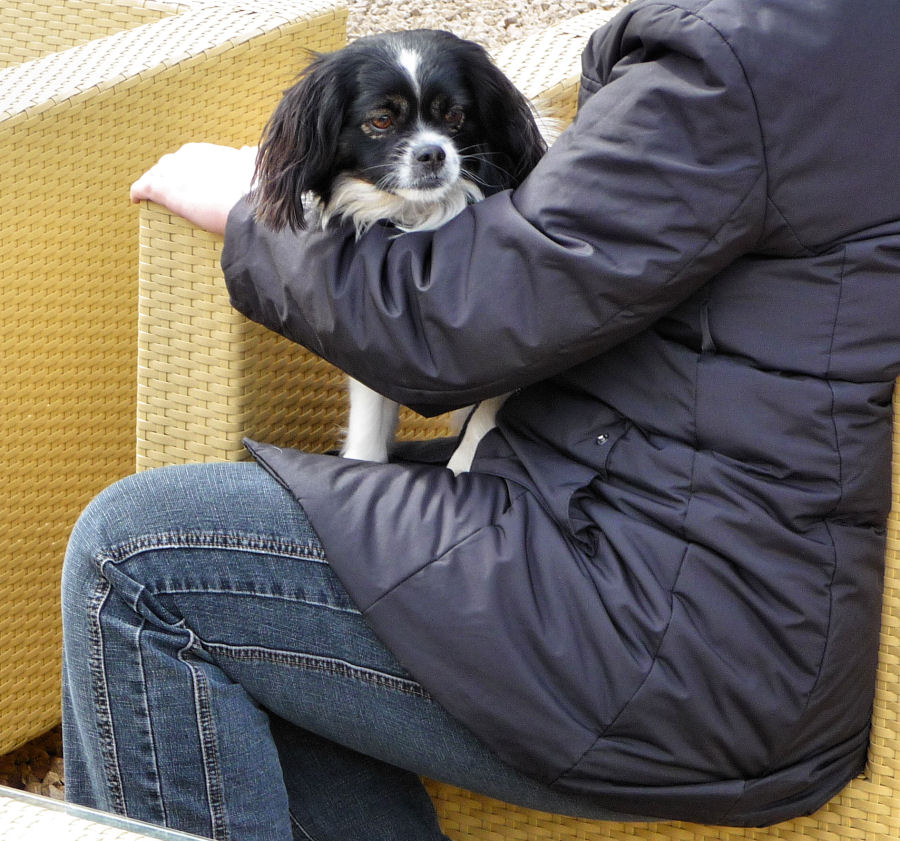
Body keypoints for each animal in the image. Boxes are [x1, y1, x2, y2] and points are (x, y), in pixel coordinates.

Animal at [253, 26, 548, 470]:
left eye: (454, 116)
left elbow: (481, 428)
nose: (433, 152)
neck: (423, 216)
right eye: (382, 120)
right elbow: (368, 427)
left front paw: (461, 470)